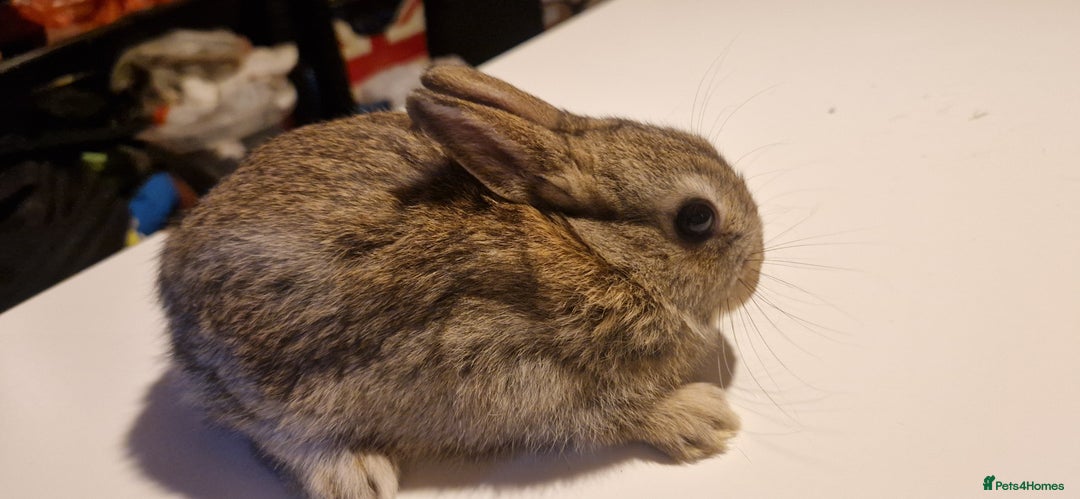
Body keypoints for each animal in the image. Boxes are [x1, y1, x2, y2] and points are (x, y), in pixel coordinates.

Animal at [157, 64, 764, 499]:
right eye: (697, 218)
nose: (755, 272)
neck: (596, 251)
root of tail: (172, 291)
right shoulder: (512, 368)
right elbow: (604, 413)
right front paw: (701, 419)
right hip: (266, 384)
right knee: (273, 436)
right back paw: (358, 476)